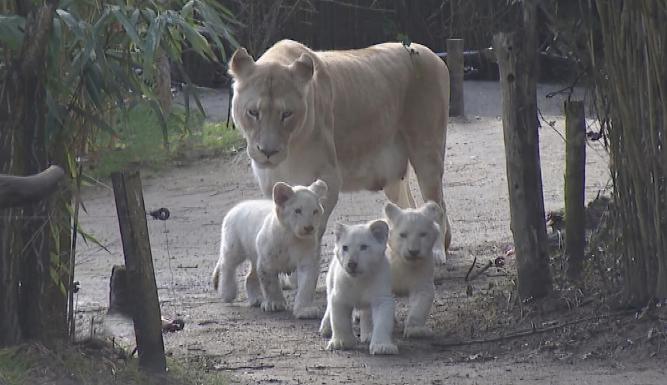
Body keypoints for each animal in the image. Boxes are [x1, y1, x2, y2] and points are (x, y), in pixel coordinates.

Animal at [230, 39, 454, 260]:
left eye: (286, 114)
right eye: (253, 112)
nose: (268, 152)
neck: (291, 148)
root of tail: (430, 53)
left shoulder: (329, 178)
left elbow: (313, 230)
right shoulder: (272, 185)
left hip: (427, 153)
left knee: (437, 204)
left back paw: (436, 252)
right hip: (394, 178)